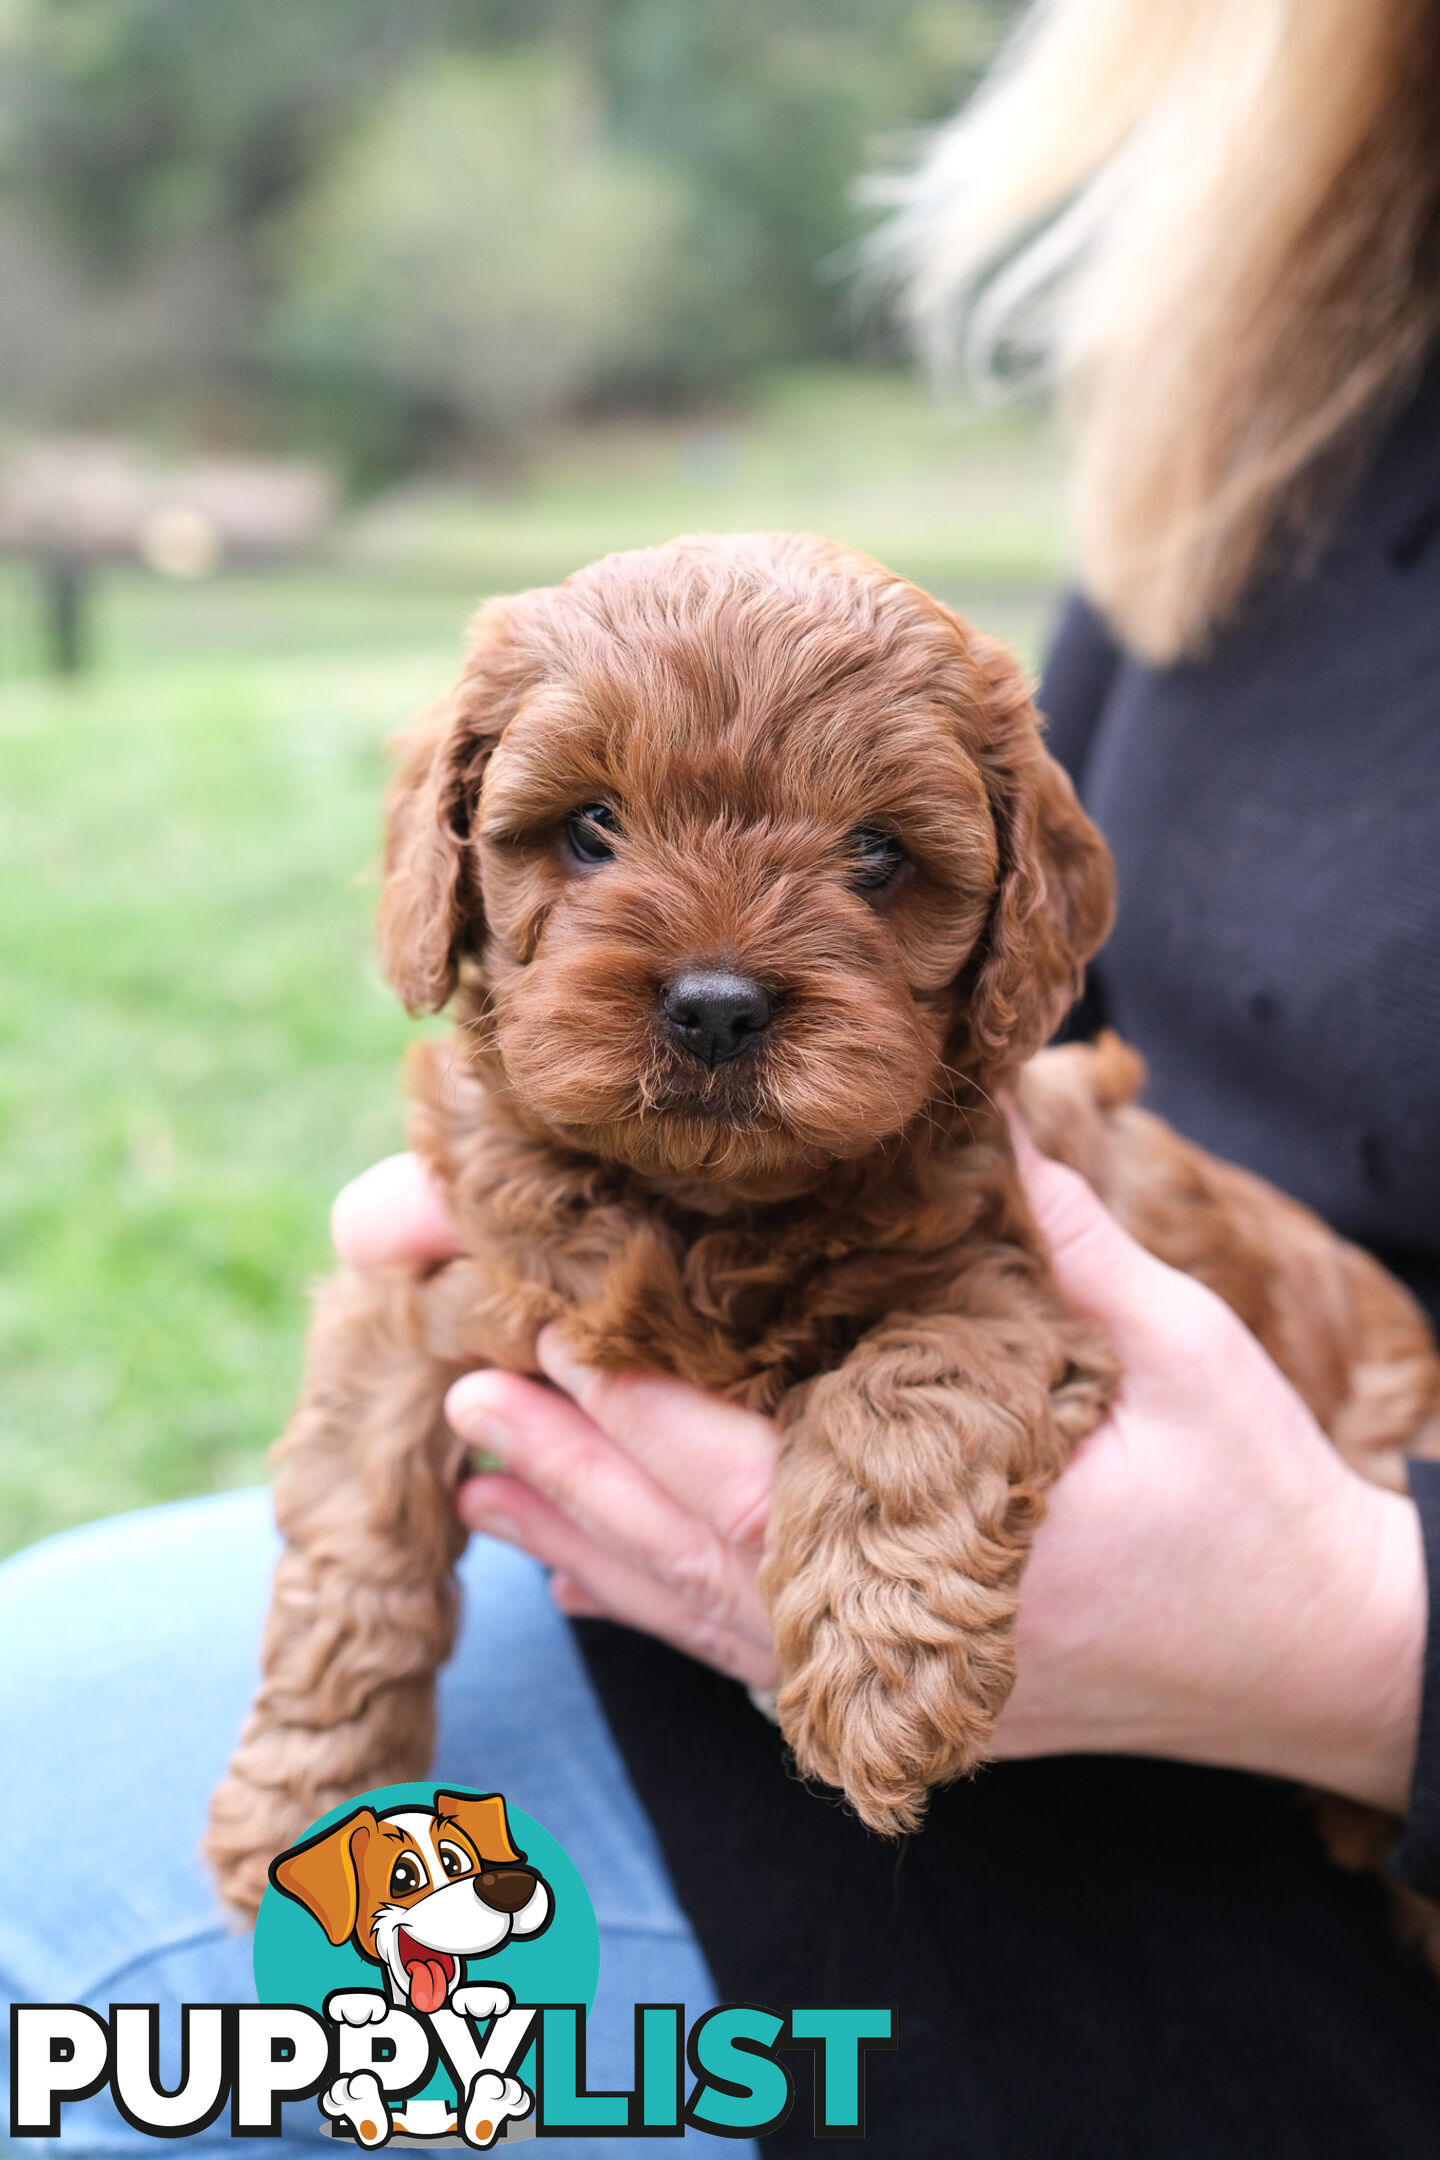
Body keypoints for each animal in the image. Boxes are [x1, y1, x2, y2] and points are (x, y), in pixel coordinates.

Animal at [208, 535, 1440, 1926]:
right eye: (591, 825)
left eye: (877, 852)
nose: (715, 1007)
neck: (702, 1210)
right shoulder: (426, 1287)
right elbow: (356, 1522)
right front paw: (309, 1798)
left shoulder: (1009, 1290)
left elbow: (905, 1397)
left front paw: (882, 1687)